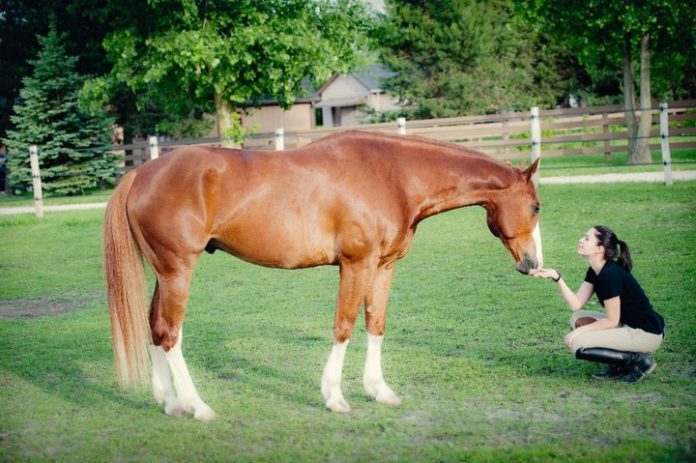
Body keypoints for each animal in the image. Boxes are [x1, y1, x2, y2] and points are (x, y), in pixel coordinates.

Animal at [103, 130, 542, 421]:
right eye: (536, 206)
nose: (533, 263)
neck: (393, 175)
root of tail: (140, 175)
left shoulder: (383, 267)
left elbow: (375, 324)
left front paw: (380, 390)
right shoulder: (356, 264)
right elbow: (343, 327)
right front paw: (334, 396)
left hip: (163, 274)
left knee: (154, 328)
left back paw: (170, 402)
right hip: (178, 271)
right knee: (170, 334)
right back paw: (198, 406)